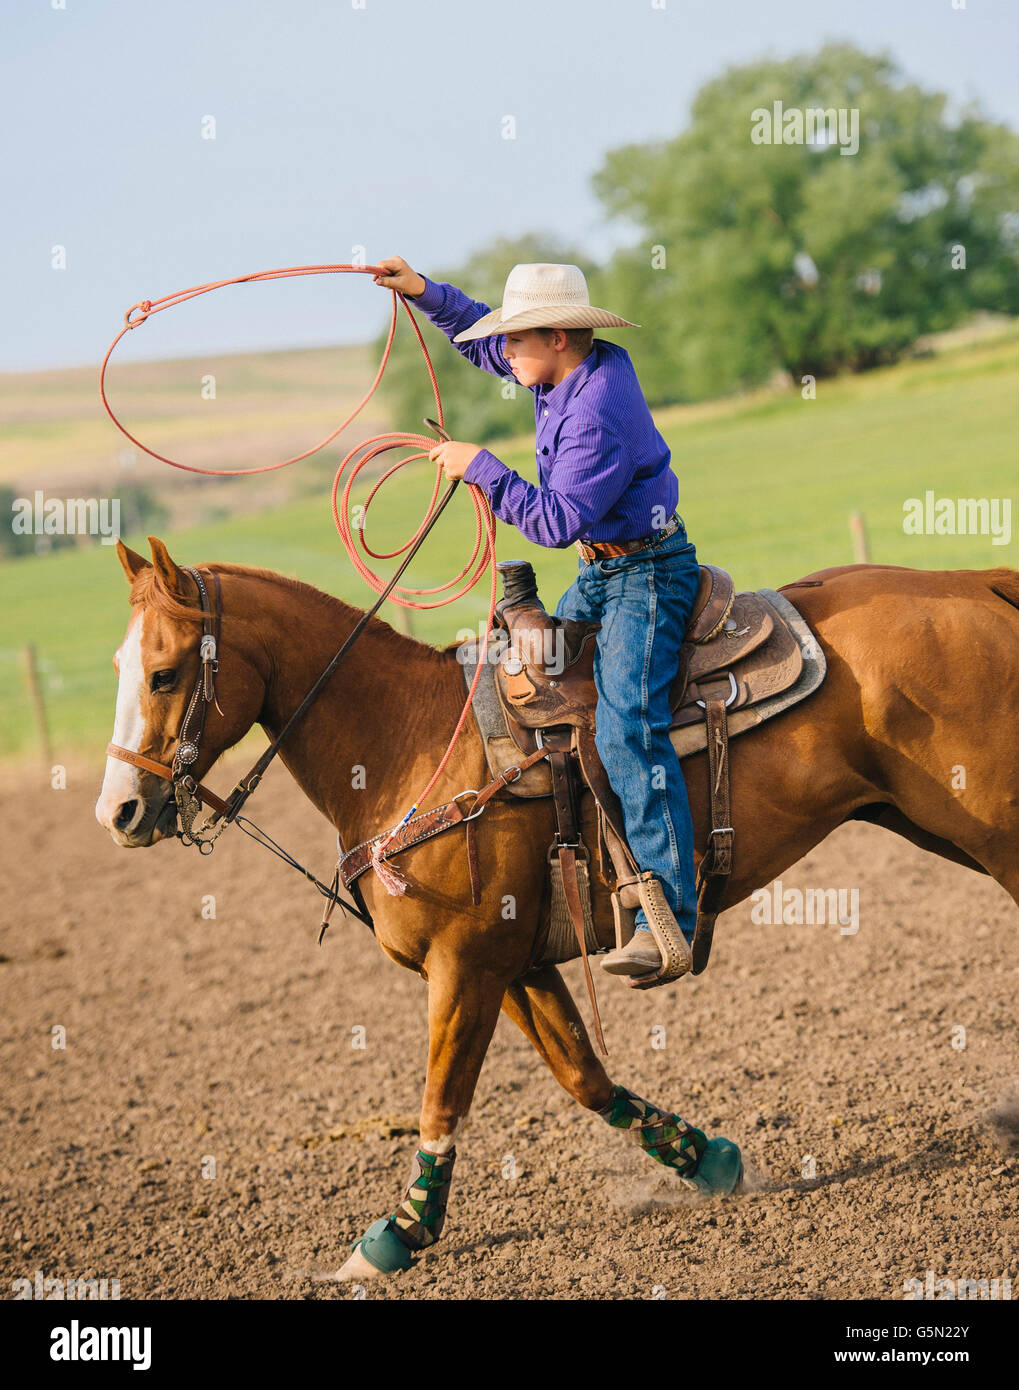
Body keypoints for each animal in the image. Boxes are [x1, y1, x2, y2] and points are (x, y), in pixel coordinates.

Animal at [95, 533, 1017, 1278]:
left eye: (166, 672)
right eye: (119, 668)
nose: (120, 813)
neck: (407, 742)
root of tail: (976, 582)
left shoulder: (463, 966)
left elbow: (441, 1096)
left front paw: (396, 1235)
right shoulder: (513, 964)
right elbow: (585, 1077)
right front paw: (709, 1161)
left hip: (990, 826)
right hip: (926, 822)